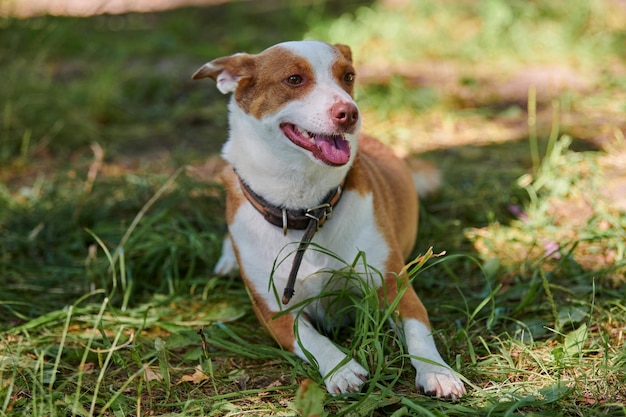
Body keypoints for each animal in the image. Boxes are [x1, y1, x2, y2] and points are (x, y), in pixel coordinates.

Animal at [193, 40, 466, 398]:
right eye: (294, 79)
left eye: (348, 76)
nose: (349, 112)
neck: (307, 210)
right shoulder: (276, 314)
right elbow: (312, 340)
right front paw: (342, 369)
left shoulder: (394, 286)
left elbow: (419, 332)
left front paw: (438, 372)